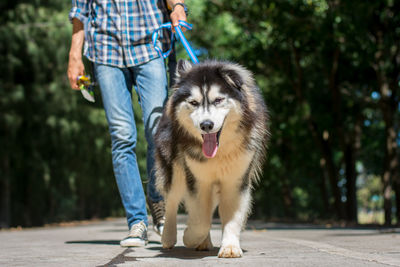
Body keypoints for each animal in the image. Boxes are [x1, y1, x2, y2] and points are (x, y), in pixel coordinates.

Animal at [153, 60, 268, 258]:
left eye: (218, 100)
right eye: (193, 102)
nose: (206, 125)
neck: (219, 152)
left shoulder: (235, 180)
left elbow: (230, 217)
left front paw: (230, 247)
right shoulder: (197, 180)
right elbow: (200, 220)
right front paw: (189, 237)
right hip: (175, 169)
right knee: (172, 200)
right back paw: (169, 236)